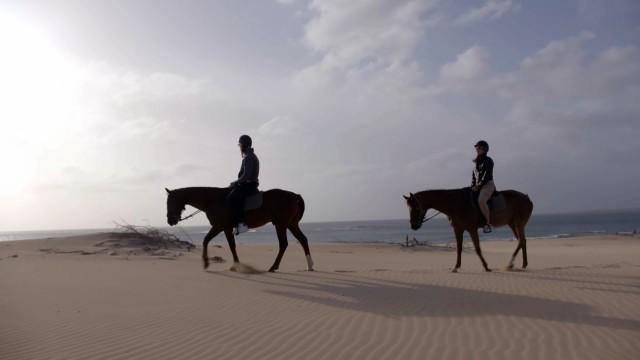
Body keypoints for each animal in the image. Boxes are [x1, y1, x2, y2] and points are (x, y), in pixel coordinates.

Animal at [166, 187, 314, 272]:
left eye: (169, 202)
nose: (170, 221)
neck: (213, 200)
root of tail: (295, 195)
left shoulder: (220, 226)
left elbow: (206, 240)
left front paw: (206, 263)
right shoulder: (225, 228)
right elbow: (232, 246)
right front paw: (235, 265)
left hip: (281, 225)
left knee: (283, 244)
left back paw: (273, 267)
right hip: (291, 224)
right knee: (303, 240)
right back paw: (309, 265)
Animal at [404, 190, 536, 272]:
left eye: (416, 208)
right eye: (408, 208)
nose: (413, 225)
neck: (455, 203)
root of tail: (527, 198)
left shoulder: (472, 229)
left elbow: (477, 249)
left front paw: (486, 267)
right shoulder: (458, 230)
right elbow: (459, 248)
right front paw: (456, 267)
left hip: (518, 224)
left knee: (521, 241)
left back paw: (510, 264)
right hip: (512, 224)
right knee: (522, 241)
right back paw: (523, 264)